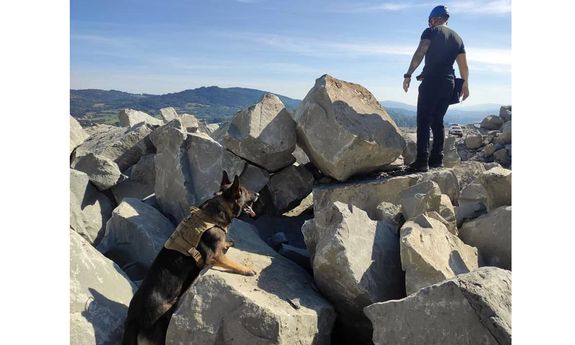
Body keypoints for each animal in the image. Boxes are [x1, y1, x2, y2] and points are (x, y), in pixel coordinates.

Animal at [122, 172, 260, 344]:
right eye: (245, 191)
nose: (258, 194)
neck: (216, 210)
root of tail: (132, 318)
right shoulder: (214, 256)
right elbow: (233, 263)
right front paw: (247, 269)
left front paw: (228, 243)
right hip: (160, 324)